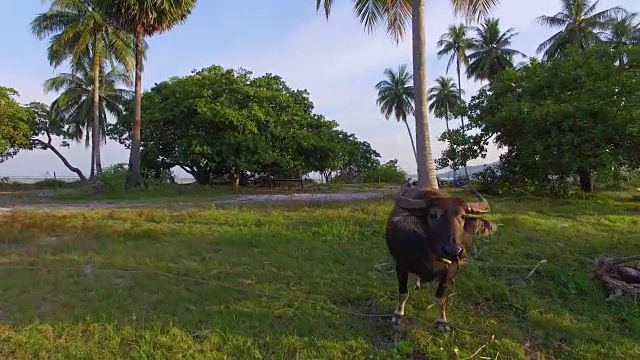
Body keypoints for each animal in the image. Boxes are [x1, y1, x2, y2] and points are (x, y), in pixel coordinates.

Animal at [382, 183, 498, 332]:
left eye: (462, 216)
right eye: (433, 215)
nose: (454, 251)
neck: (430, 253)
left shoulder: (450, 269)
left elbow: (441, 298)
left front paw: (442, 321)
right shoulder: (401, 265)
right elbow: (403, 293)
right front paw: (398, 315)